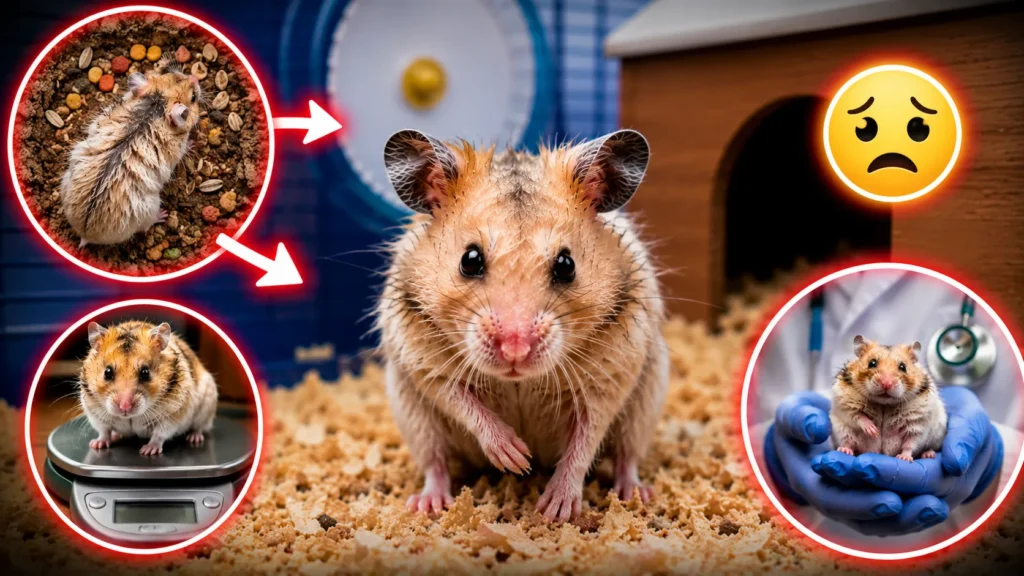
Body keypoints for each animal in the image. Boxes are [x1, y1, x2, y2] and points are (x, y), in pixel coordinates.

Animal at [61, 67, 202, 247]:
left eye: (170, 75)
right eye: (193, 97)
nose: (195, 77)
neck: (158, 106)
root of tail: (85, 234)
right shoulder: (179, 149)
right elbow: (186, 148)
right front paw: (192, 143)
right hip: (150, 207)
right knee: (147, 225)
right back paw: (162, 215)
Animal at [79, 320, 218, 455]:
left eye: (145, 373)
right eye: (107, 372)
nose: (125, 408)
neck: (130, 417)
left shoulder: (172, 416)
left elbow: (159, 434)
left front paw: (147, 451)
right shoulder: (95, 415)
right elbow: (104, 431)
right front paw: (95, 444)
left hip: (206, 408)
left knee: (199, 427)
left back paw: (194, 438)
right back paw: (114, 436)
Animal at [375, 128, 669, 522]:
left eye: (566, 264)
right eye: (470, 259)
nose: (515, 350)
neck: (518, 382)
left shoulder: (611, 376)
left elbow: (585, 441)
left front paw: (555, 509)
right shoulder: (423, 362)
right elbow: (461, 401)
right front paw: (514, 457)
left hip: (644, 407)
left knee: (627, 456)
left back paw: (635, 493)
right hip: (413, 417)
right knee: (435, 462)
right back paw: (429, 504)